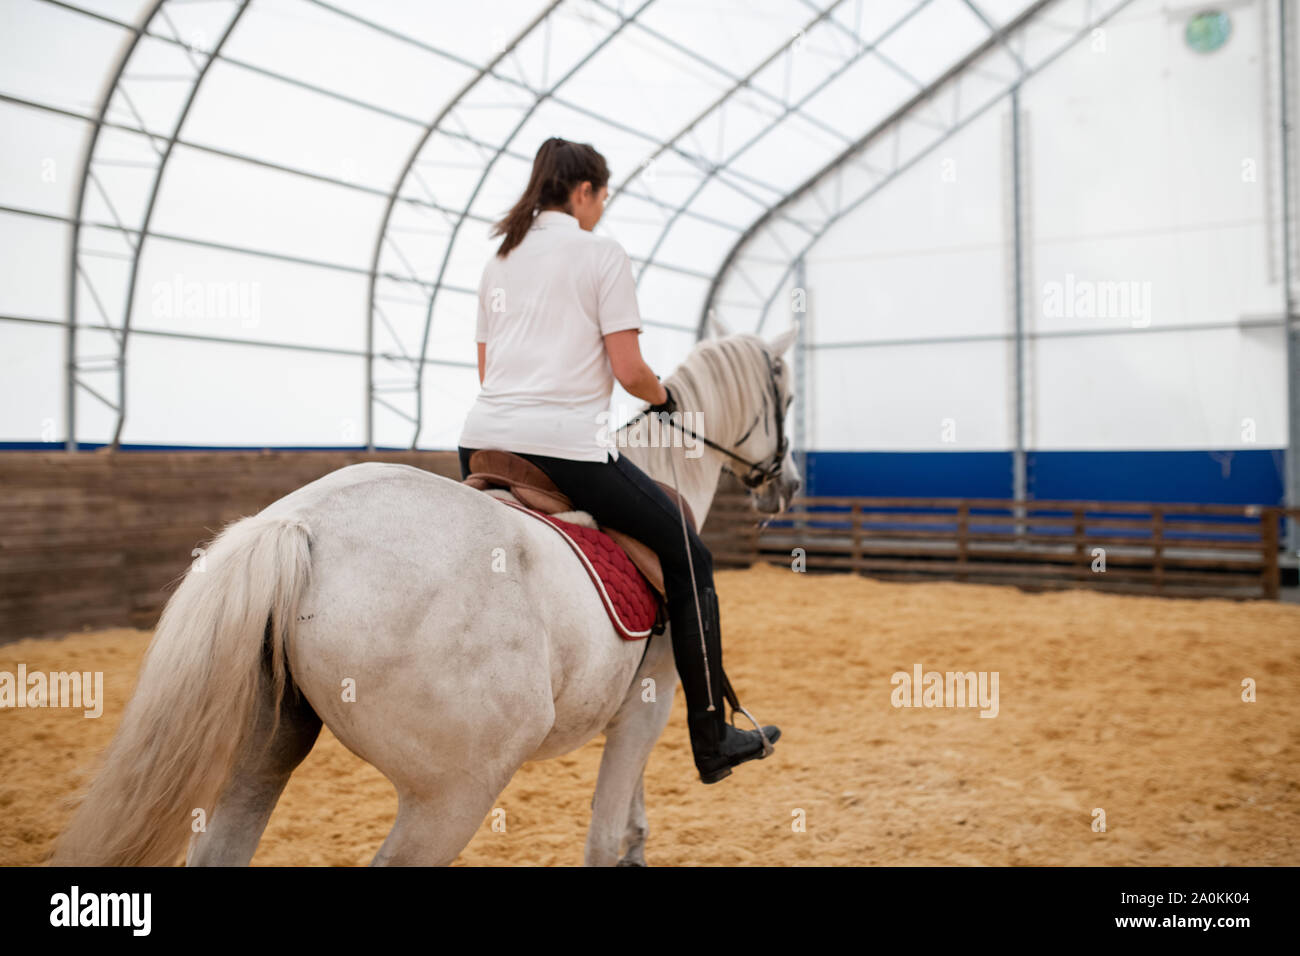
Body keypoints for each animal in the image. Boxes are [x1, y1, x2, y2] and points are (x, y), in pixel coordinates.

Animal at [50, 321, 795, 868]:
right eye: (787, 397)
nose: (785, 485)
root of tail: (300, 525)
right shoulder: (653, 696)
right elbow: (605, 830)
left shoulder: (637, 704)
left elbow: (628, 804)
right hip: (453, 793)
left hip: (262, 752)